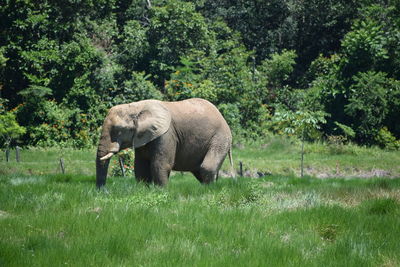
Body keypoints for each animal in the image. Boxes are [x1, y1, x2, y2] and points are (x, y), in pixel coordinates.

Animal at [96, 98, 234, 188]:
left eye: (118, 130)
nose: (103, 191)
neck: (137, 107)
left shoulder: (166, 134)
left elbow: (160, 164)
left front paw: (162, 191)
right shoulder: (143, 136)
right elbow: (141, 166)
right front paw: (144, 189)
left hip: (221, 137)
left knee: (206, 167)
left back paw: (208, 190)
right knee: (198, 170)